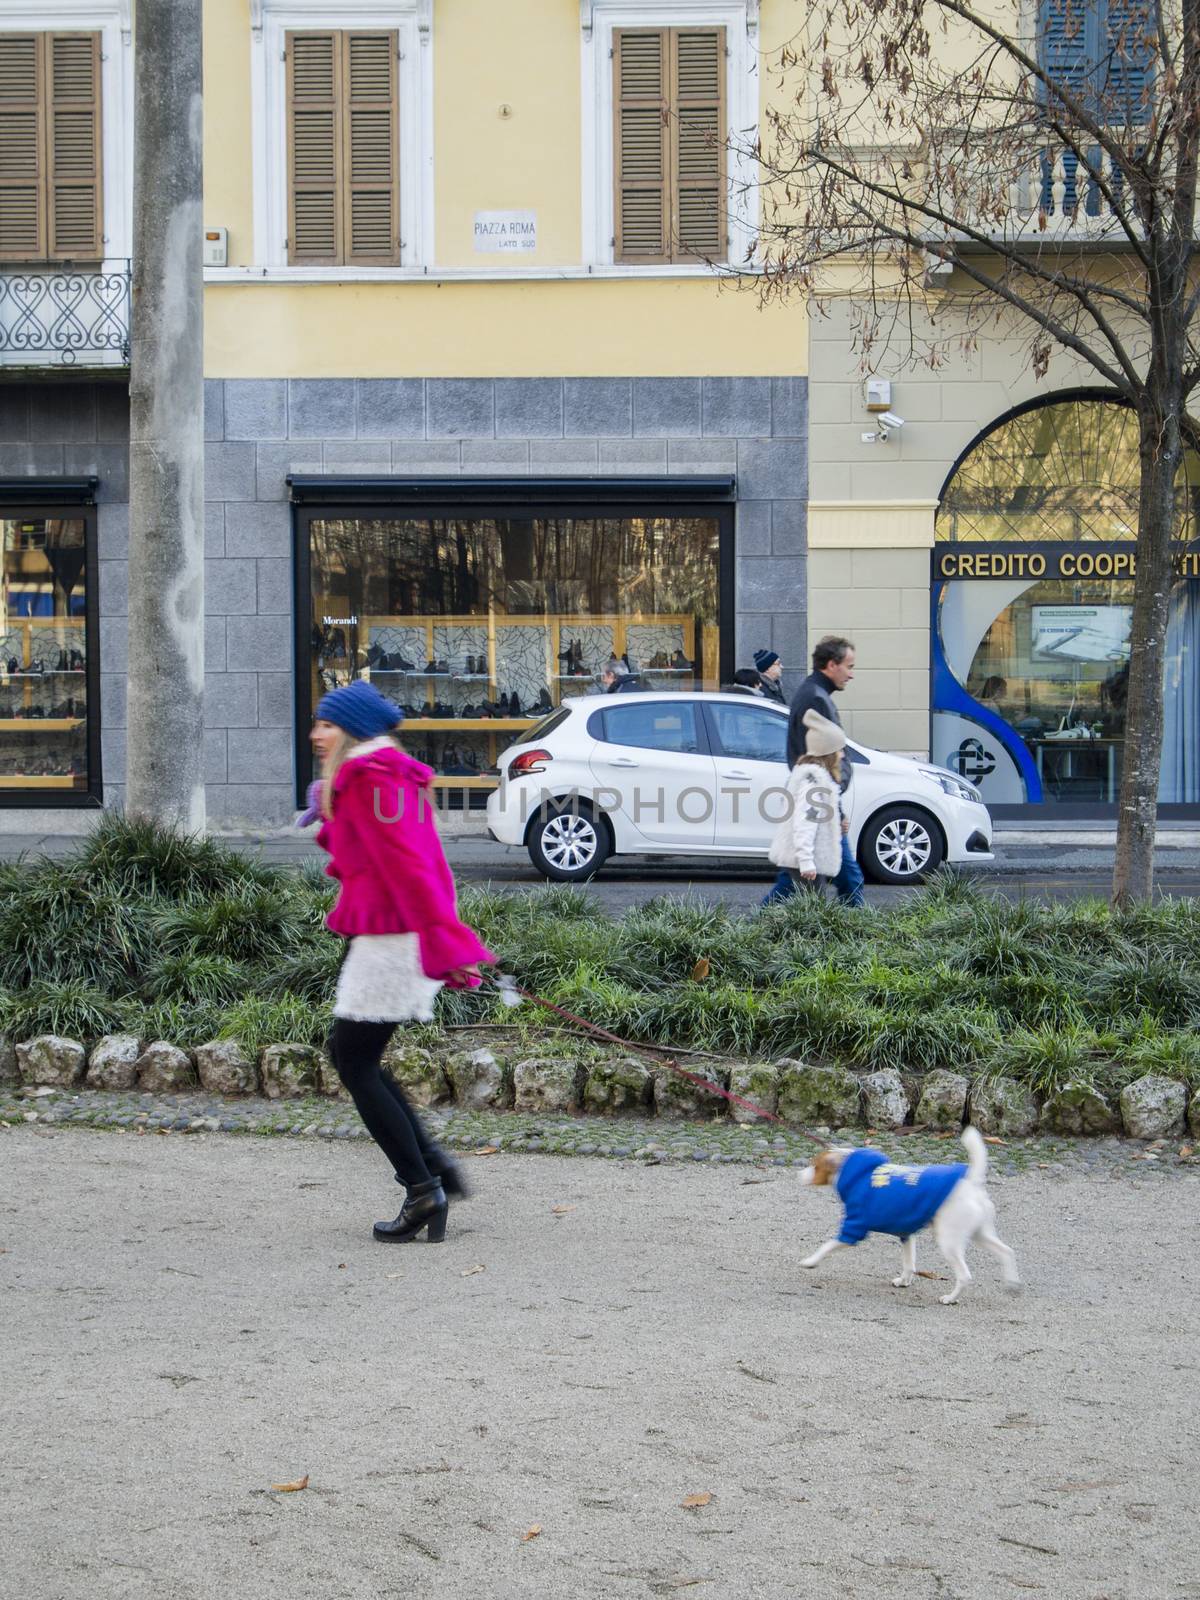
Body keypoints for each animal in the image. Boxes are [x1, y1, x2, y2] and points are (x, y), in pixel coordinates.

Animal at [803, 1120, 1017, 1305]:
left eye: (815, 1166)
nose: (799, 1174)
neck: (854, 1171)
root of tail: (970, 1183)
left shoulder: (854, 1228)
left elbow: (827, 1246)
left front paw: (810, 1261)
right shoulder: (906, 1232)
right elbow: (909, 1261)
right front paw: (904, 1281)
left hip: (949, 1240)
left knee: (965, 1276)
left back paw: (950, 1298)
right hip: (980, 1233)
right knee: (1006, 1251)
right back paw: (1013, 1283)